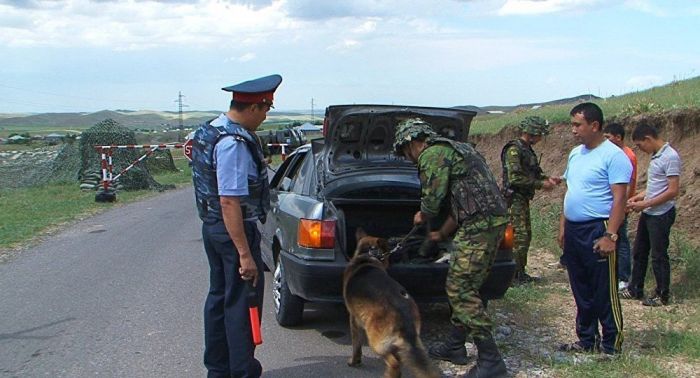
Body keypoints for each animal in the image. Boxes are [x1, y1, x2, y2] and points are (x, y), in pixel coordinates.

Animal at [344, 227, 440, 378]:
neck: (368, 257)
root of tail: (402, 310)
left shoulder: (353, 319)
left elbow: (356, 345)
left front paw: (354, 361)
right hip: (406, 342)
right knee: (400, 360)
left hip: (376, 342)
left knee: (394, 363)